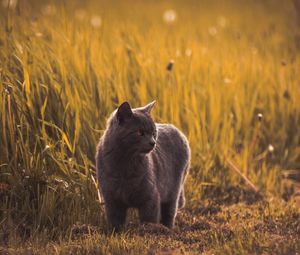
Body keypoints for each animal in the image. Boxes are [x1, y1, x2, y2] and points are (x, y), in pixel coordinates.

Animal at [95, 100, 191, 230]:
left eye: (154, 133)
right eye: (140, 132)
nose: (153, 142)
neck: (125, 164)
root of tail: (178, 130)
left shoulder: (150, 198)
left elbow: (149, 219)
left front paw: (150, 231)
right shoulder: (111, 199)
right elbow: (115, 221)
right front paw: (116, 232)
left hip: (173, 190)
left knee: (170, 213)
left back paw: (167, 230)